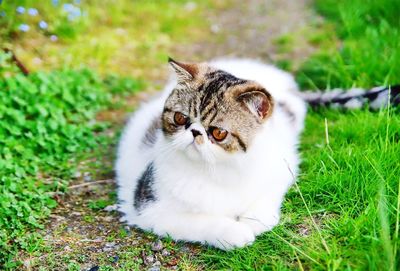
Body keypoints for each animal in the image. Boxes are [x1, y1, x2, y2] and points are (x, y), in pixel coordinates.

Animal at [114, 58, 398, 251]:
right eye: (180, 118)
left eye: (218, 133)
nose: (194, 132)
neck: (218, 170)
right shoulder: (150, 208)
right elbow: (199, 221)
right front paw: (233, 232)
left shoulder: (281, 165)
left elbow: (268, 194)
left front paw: (254, 220)